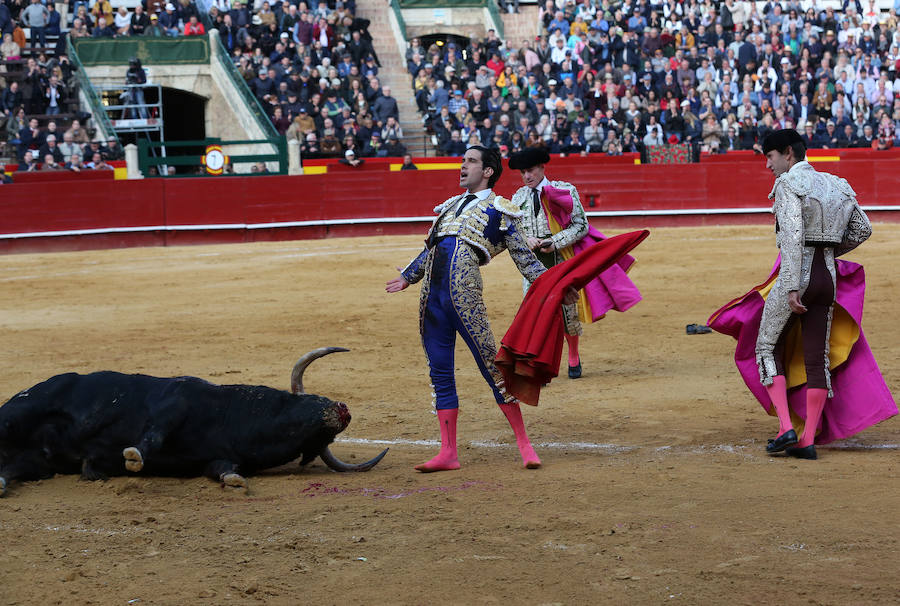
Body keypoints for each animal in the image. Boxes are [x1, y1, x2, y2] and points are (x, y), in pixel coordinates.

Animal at [0, 350, 384, 496]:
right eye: (315, 400)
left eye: (321, 442)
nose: (344, 410)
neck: (230, 419)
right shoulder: (175, 402)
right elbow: (151, 438)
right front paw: (132, 458)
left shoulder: (218, 458)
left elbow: (225, 471)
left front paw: (236, 482)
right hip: (18, 415)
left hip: (37, 463)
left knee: (11, 470)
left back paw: (2, 484)